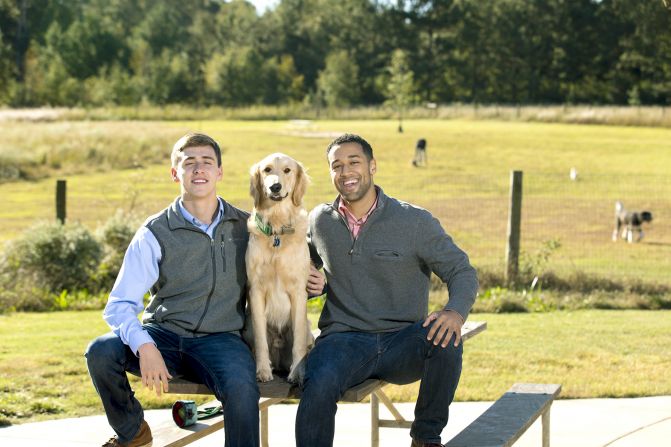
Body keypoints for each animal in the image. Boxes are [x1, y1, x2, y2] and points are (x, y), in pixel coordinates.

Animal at [243, 152, 314, 384]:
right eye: (267, 170)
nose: (275, 187)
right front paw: (262, 370)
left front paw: (297, 373)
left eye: (287, 170)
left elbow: (298, 341)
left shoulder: (298, 291)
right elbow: (260, 340)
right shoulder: (255, 290)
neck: (276, 232)